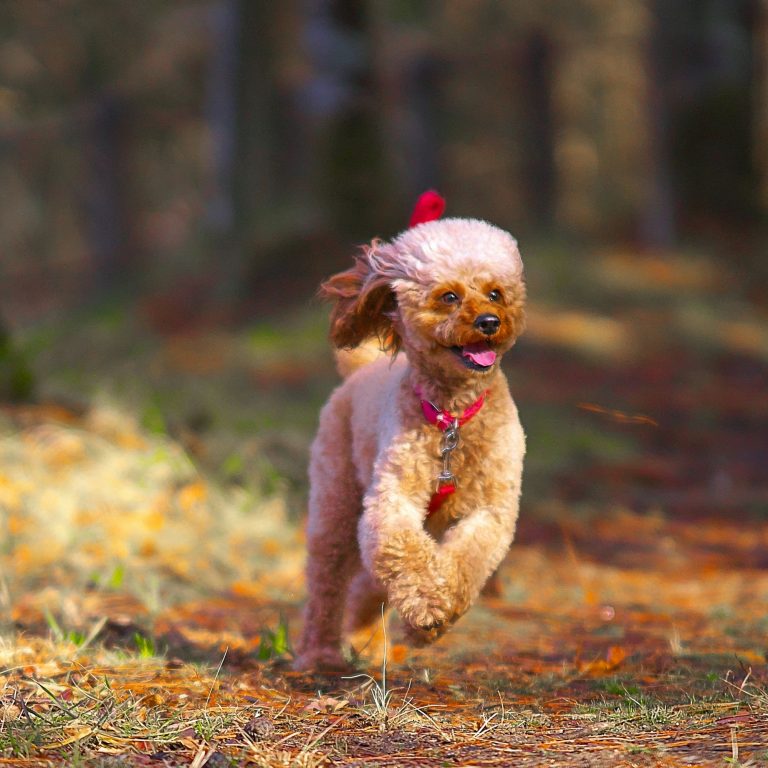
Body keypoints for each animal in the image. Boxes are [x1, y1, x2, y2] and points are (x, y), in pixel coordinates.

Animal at [292, 194, 524, 672]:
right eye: (449, 296)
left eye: (496, 292)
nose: (490, 321)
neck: (452, 418)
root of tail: (360, 370)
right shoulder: (392, 499)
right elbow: (404, 550)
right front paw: (427, 608)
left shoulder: (491, 509)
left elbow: (466, 560)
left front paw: (432, 617)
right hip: (336, 500)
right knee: (328, 580)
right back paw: (320, 652)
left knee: (367, 584)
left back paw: (364, 635)